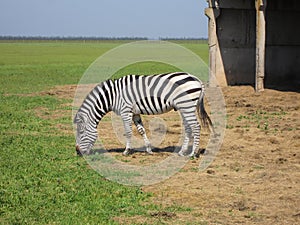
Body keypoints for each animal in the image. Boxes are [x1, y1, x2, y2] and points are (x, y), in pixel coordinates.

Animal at [73, 71, 212, 156]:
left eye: (81, 132)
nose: (77, 152)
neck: (112, 96)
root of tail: (196, 79)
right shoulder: (135, 113)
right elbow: (141, 130)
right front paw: (149, 149)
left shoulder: (126, 111)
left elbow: (128, 132)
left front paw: (126, 151)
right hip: (184, 107)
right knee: (188, 127)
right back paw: (182, 152)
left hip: (187, 106)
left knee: (196, 126)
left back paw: (193, 153)